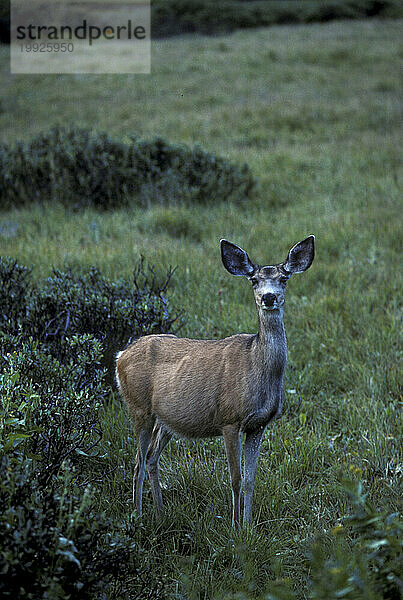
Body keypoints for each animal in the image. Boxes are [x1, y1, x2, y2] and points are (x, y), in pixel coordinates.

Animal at [117, 237, 316, 528]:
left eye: (284, 278)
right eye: (254, 280)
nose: (268, 297)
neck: (256, 365)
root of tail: (120, 355)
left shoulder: (259, 425)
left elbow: (250, 480)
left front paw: (248, 526)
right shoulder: (229, 419)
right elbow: (235, 479)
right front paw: (235, 528)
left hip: (166, 419)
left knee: (151, 458)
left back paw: (160, 512)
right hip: (139, 407)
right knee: (137, 462)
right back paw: (139, 516)